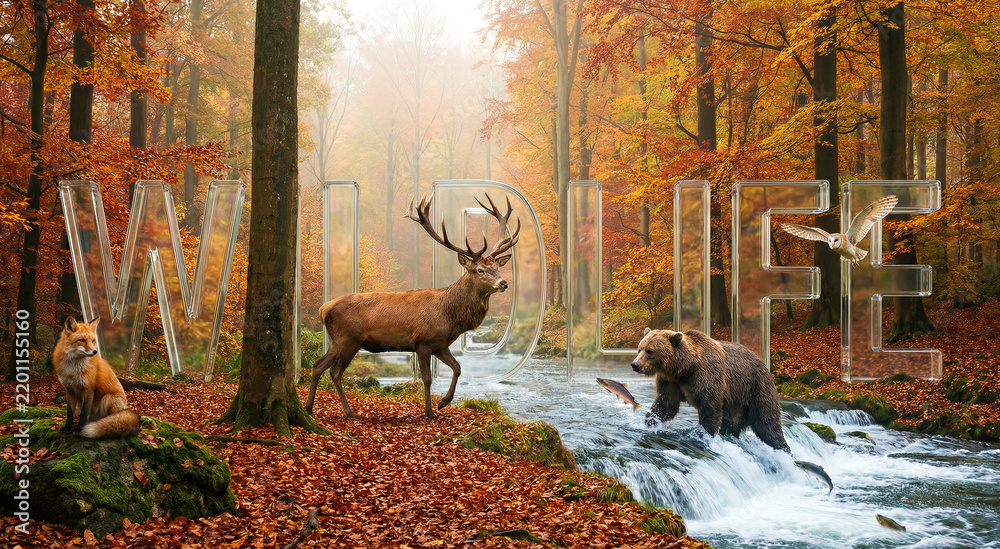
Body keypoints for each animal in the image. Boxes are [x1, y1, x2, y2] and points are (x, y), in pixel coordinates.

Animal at [304, 193, 521, 419]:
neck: (450, 315)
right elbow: (427, 379)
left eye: (496, 267)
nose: (504, 283)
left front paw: (443, 402)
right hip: (348, 339)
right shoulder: (422, 342)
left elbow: (458, 368)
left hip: (336, 341)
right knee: (335, 372)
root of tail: (323, 309)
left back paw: (309, 408)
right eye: (480, 270)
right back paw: (349, 412)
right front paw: (429, 411)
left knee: (317, 365)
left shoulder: (440, 345)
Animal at [630, 328, 789, 452]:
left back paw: (783, 449)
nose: (635, 364)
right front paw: (650, 422)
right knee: (731, 424)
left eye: (650, 351)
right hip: (736, 405)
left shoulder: (708, 378)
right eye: (639, 348)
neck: (684, 370)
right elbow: (666, 405)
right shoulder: (671, 383)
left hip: (756, 389)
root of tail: (764, 365)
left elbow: (709, 410)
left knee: (768, 424)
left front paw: (703, 435)